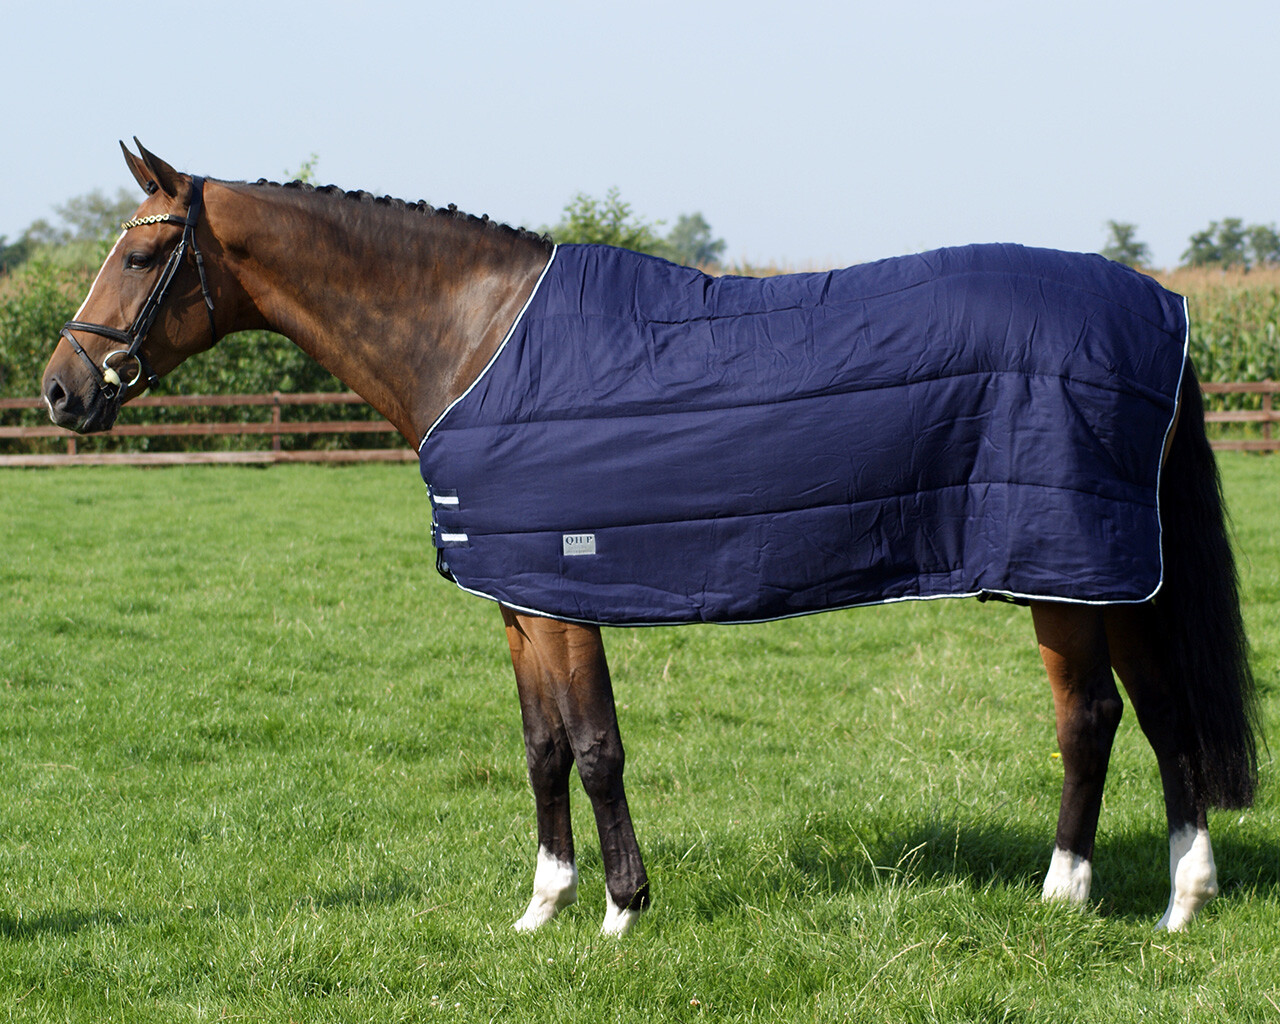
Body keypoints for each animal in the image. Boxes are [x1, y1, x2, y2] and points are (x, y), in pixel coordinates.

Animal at [41, 141, 1260, 936]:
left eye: (142, 260)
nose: (59, 389)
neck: (478, 340)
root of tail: (1160, 309)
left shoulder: (562, 585)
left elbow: (595, 745)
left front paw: (623, 913)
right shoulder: (517, 600)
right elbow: (541, 747)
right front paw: (543, 906)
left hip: (1083, 572)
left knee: (1118, 717)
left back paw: (1123, 898)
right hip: (1088, 573)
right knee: (1128, 716)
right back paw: (1124, 898)